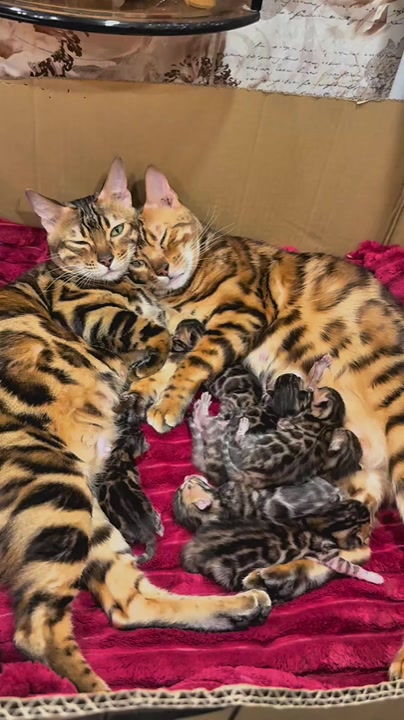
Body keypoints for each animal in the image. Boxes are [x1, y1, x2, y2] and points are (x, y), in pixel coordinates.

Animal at [0, 159, 271, 693]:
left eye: (117, 230)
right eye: (80, 242)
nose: (107, 260)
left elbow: (173, 349)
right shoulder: (89, 310)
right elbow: (162, 337)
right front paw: (159, 366)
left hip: (85, 515)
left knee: (126, 604)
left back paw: (240, 608)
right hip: (54, 492)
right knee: (35, 630)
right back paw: (97, 696)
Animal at [130, 164, 404, 680]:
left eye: (163, 237)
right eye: (136, 261)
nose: (162, 269)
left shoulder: (240, 315)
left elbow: (191, 362)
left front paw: (165, 403)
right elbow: (169, 361)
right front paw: (141, 391)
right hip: (354, 490)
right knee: (353, 547)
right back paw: (276, 577)